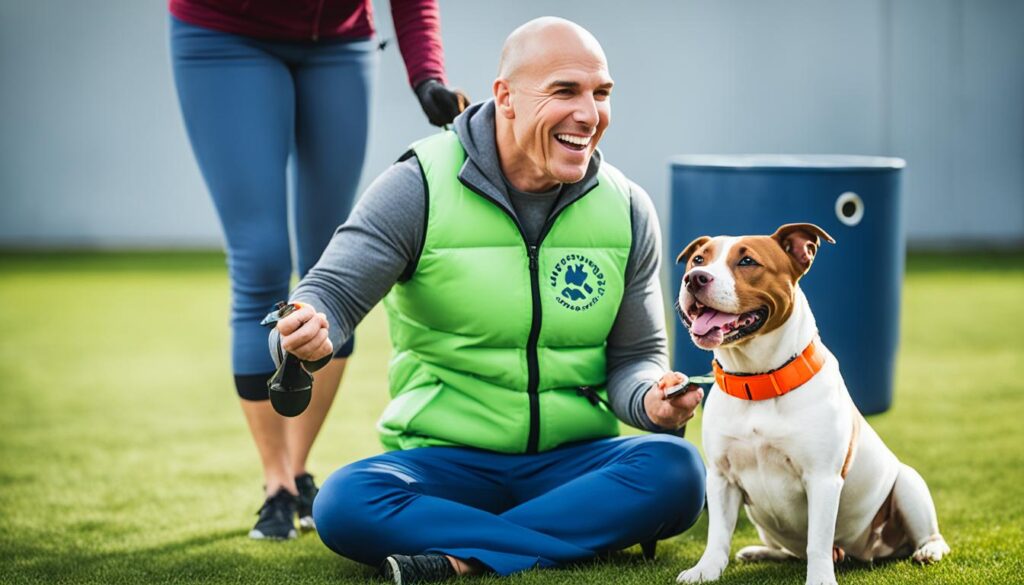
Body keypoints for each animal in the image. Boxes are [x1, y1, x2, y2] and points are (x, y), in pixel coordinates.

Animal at [675, 224, 946, 585]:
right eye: (697, 260)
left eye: (747, 261)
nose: (694, 278)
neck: (758, 380)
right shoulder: (721, 477)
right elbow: (717, 534)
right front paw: (705, 570)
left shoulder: (822, 479)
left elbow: (817, 540)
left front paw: (819, 579)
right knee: (790, 551)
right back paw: (760, 552)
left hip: (907, 483)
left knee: (927, 534)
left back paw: (928, 550)